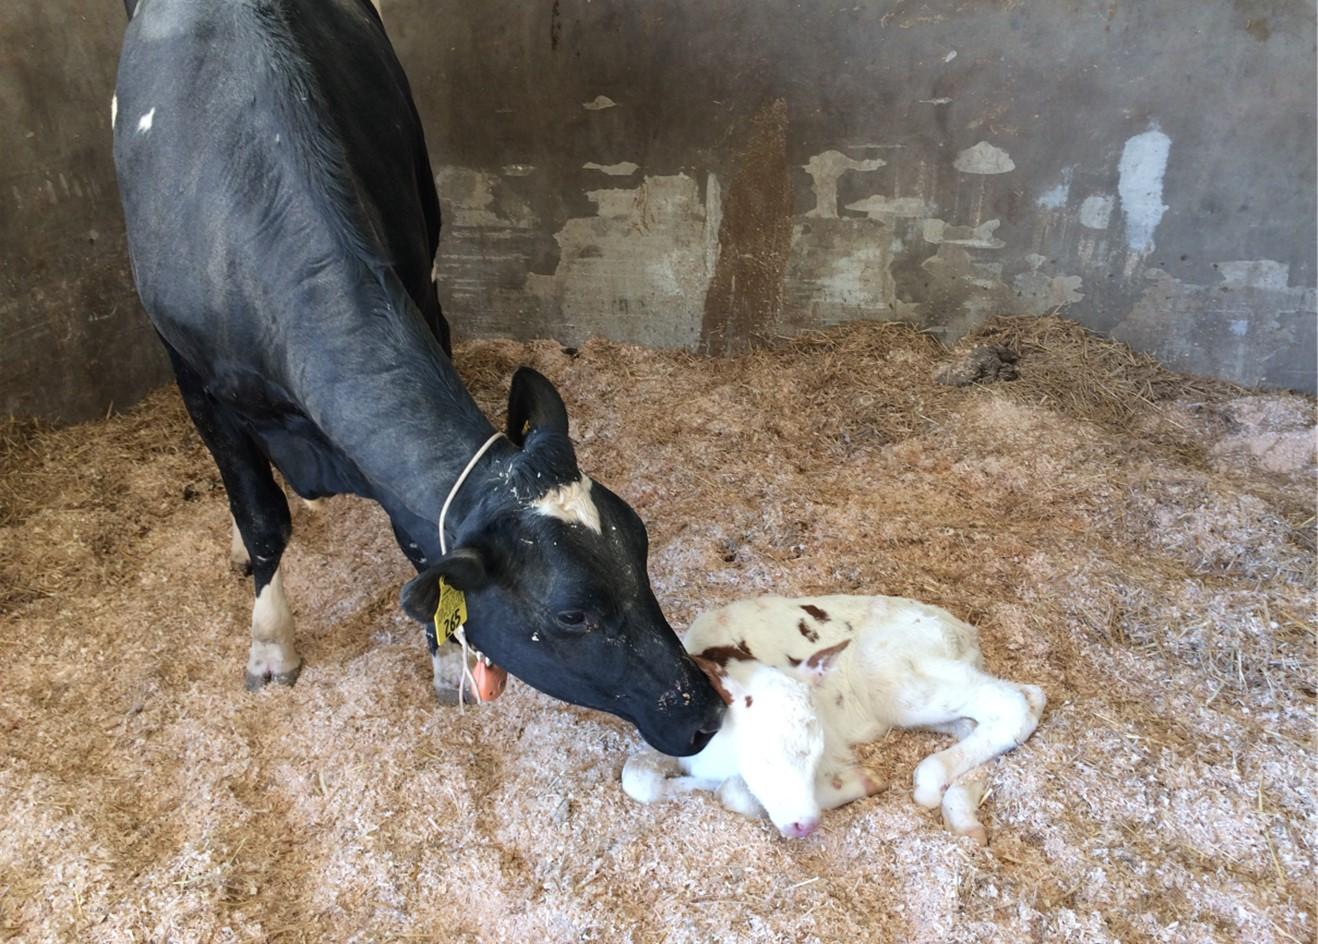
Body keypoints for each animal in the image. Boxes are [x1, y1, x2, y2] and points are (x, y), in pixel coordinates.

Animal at [114, 0, 727, 754]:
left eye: (641, 553)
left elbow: (418, 537)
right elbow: (262, 520)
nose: (705, 711)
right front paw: (270, 646)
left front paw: (445, 659)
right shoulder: (195, 379)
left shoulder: (425, 297)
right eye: (572, 616)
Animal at [622, 598, 1043, 838]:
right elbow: (637, 780)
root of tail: (962, 629)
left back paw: (932, 779)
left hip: (897, 680)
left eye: (816, 751)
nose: (805, 825)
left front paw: (859, 781)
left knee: (1014, 702)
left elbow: (735, 793)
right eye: (761, 757)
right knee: (1016, 701)